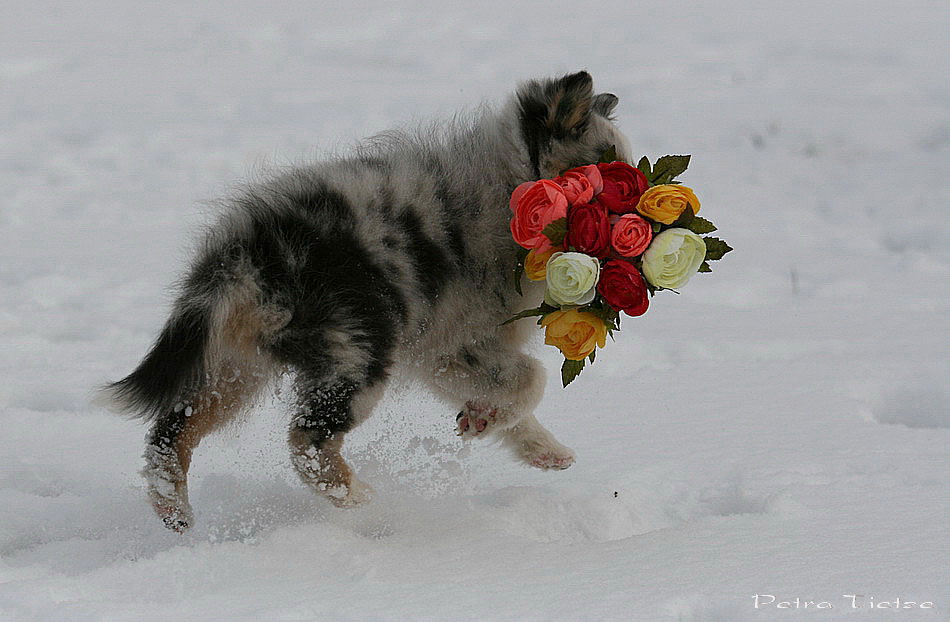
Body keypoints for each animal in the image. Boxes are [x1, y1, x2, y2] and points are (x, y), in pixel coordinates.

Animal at [100, 72, 632, 532]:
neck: (512, 185)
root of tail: (245, 252)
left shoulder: (452, 351)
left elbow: (514, 391)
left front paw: (524, 440)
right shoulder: (459, 339)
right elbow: (531, 381)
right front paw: (487, 422)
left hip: (235, 364)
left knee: (171, 431)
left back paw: (175, 511)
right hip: (358, 349)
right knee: (305, 440)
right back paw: (360, 499)